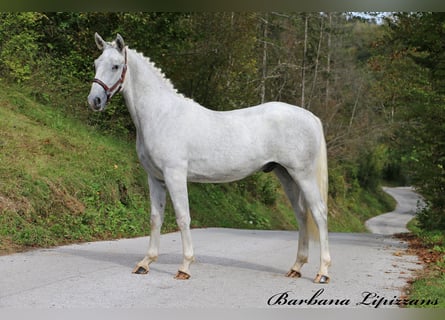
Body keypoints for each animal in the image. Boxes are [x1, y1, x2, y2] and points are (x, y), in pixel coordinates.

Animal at [86, 33, 330, 282]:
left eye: (116, 66)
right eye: (96, 64)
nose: (94, 100)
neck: (161, 115)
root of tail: (311, 117)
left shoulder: (175, 175)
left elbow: (183, 217)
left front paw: (184, 267)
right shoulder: (155, 178)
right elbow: (155, 218)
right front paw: (145, 263)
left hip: (303, 175)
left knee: (319, 214)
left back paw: (323, 272)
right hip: (286, 175)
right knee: (302, 215)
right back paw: (296, 267)